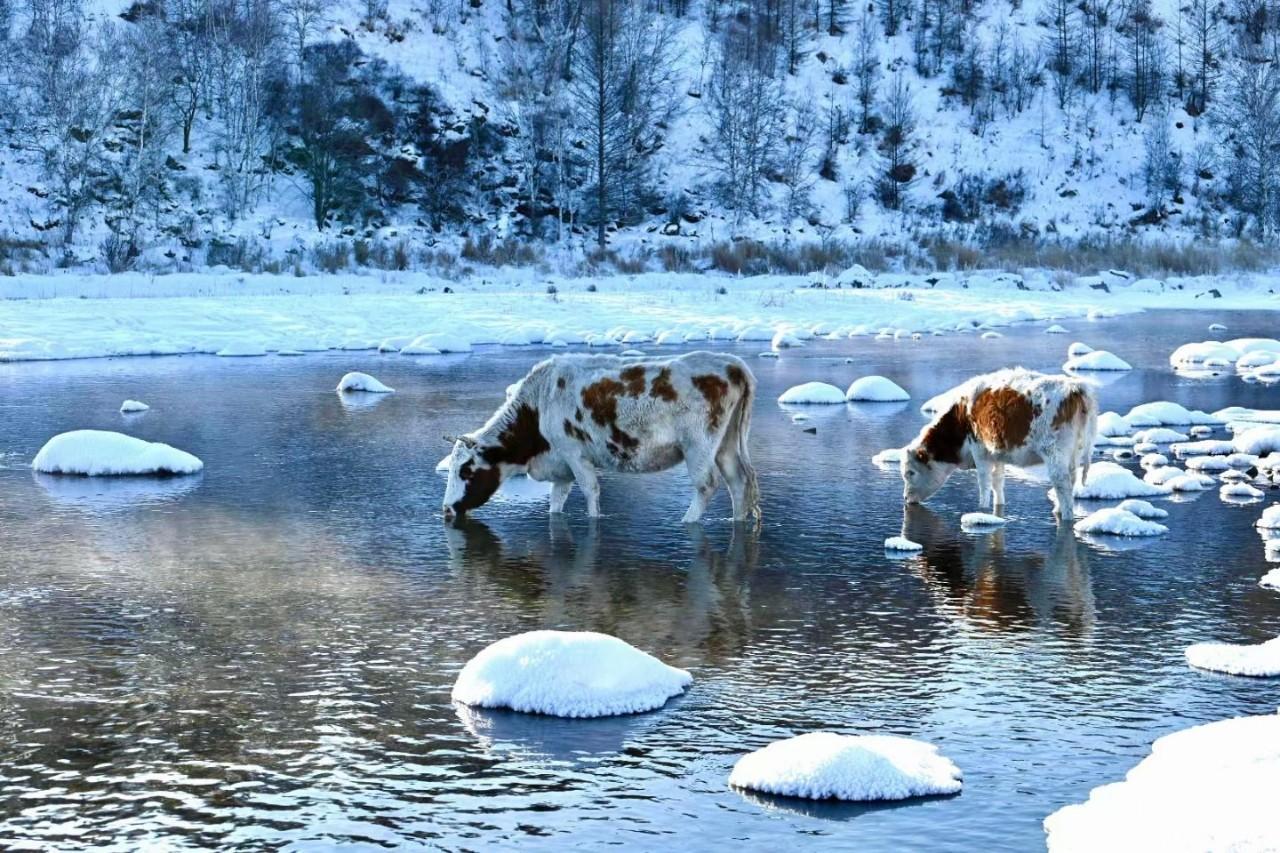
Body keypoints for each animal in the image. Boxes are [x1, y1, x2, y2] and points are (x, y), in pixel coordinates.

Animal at [442, 348, 757, 522]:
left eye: (465, 471)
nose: (446, 509)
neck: (538, 405)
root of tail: (732, 364)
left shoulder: (573, 453)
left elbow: (590, 490)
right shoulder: (561, 467)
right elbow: (556, 501)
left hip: (698, 446)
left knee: (707, 484)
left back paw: (687, 521)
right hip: (726, 444)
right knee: (738, 481)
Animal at [901, 366, 1100, 517]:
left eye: (910, 472)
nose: (905, 498)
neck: (960, 415)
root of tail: (1076, 388)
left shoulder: (979, 450)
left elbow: (984, 482)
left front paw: (981, 509)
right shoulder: (997, 455)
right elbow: (998, 482)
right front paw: (998, 509)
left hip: (1054, 453)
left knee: (1062, 484)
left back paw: (1065, 515)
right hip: (1073, 453)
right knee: (1071, 479)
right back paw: (1058, 510)